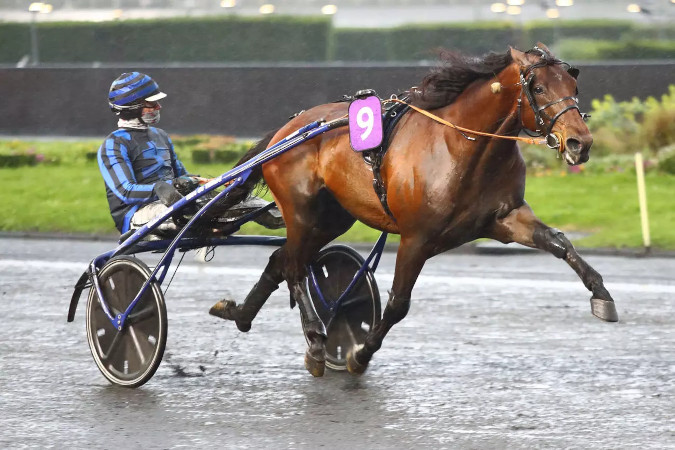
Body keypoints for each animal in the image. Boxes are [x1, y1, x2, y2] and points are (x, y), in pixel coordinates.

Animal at [210, 44, 616, 378]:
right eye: (539, 88)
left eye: (573, 86)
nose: (580, 143)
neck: (464, 147)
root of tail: (288, 129)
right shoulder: (416, 238)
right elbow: (397, 305)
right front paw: (359, 354)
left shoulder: (504, 218)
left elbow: (560, 242)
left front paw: (602, 296)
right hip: (302, 212)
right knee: (293, 266)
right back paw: (314, 341)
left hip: (333, 218)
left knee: (279, 261)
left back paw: (240, 315)